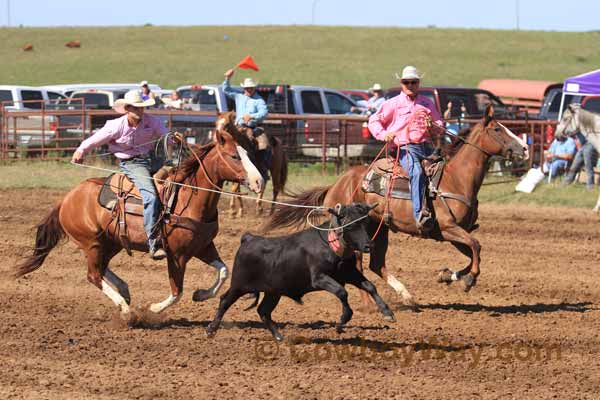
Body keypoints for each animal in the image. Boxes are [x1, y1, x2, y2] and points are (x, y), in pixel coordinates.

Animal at [13, 111, 262, 318]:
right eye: (234, 156)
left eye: (246, 153)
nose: (259, 181)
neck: (187, 199)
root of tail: (67, 198)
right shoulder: (177, 255)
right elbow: (177, 292)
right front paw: (154, 308)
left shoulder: (204, 247)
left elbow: (223, 271)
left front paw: (200, 294)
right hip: (91, 242)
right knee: (94, 275)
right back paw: (125, 308)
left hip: (111, 242)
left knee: (101, 268)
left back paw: (124, 292)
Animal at [206, 203, 394, 340]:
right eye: (351, 224)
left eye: (366, 223)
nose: (369, 246)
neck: (330, 245)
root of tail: (249, 239)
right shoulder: (319, 278)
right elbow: (342, 292)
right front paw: (341, 322)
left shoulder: (350, 274)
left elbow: (370, 286)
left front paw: (388, 312)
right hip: (239, 285)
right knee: (225, 301)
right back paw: (211, 329)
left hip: (273, 292)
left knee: (263, 311)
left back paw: (279, 337)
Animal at [264, 104, 528, 304]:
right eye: (498, 129)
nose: (525, 148)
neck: (456, 179)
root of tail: (337, 184)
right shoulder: (449, 228)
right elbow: (476, 246)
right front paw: (469, 280)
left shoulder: (452, 233)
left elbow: (473, 252)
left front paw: (447, 276)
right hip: (351, 230)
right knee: (357, 262)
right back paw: (371, 303)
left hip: (378, 229)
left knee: (375, 264)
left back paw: (406, 297)